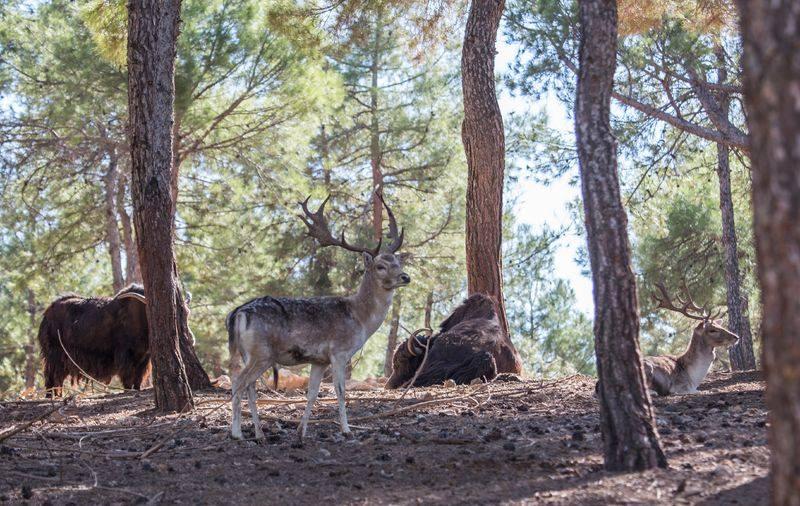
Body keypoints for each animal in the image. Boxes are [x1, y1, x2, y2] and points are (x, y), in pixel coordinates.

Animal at [227, 196, 410, 440]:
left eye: (398, 263)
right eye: (381, 266)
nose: (406, 277)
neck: (359, 318)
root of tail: (239, 312)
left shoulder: (319, 360)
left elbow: (312, 393)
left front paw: (301, 431)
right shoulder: (339, 351)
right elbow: (340, 391)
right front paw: (346, 429)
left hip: (248, 352)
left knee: (249, 387)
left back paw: (259, 433)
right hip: (262, 353)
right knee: (239, 382)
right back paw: (237, 433)